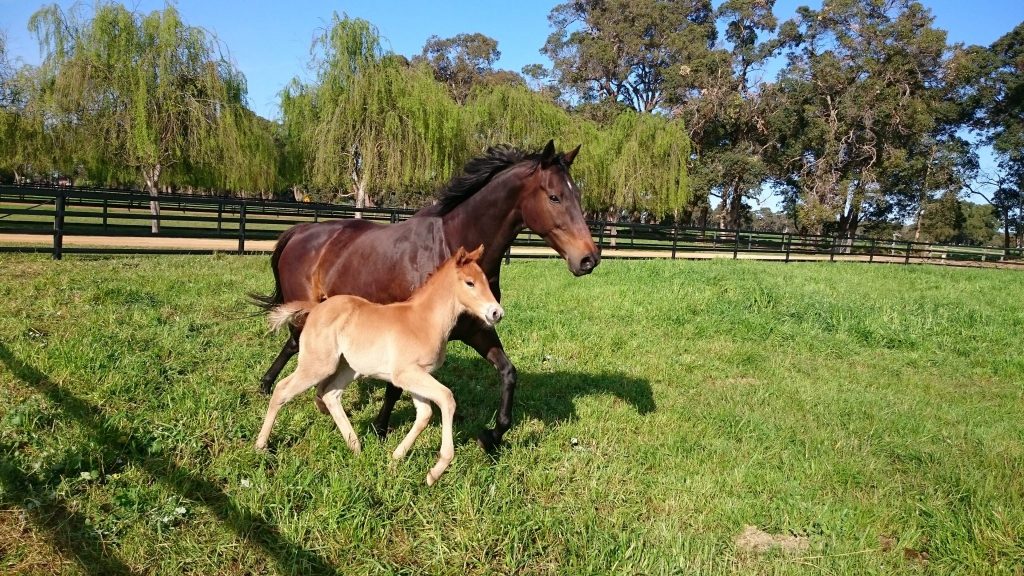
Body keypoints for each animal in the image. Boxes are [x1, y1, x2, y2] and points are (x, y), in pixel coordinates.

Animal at [251, 139, 598, 448]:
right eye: (554, 197)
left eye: (578, 194)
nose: (588, 259)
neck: (449, 249)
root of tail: (300, 231)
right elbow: (395, 388)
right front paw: (379, 428)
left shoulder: (478, 330)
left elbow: (508, 373)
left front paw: (493, 436)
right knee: (297, 344)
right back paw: (274, 389)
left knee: (295, 345)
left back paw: (278, 389)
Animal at [256, 243, 503, 481]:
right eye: (470, 283)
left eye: (485, 280)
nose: (496, 313)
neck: (424, 320)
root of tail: (316, 308)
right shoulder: (406, 374)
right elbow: (447, 398)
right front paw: (437, 470)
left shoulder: (418, 376)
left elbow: (424, 414)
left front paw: (395, 458)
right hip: (318, 365)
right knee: (283, 389)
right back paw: (261, 445)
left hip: (349, 368)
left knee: (330, 394)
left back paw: (355, 446)